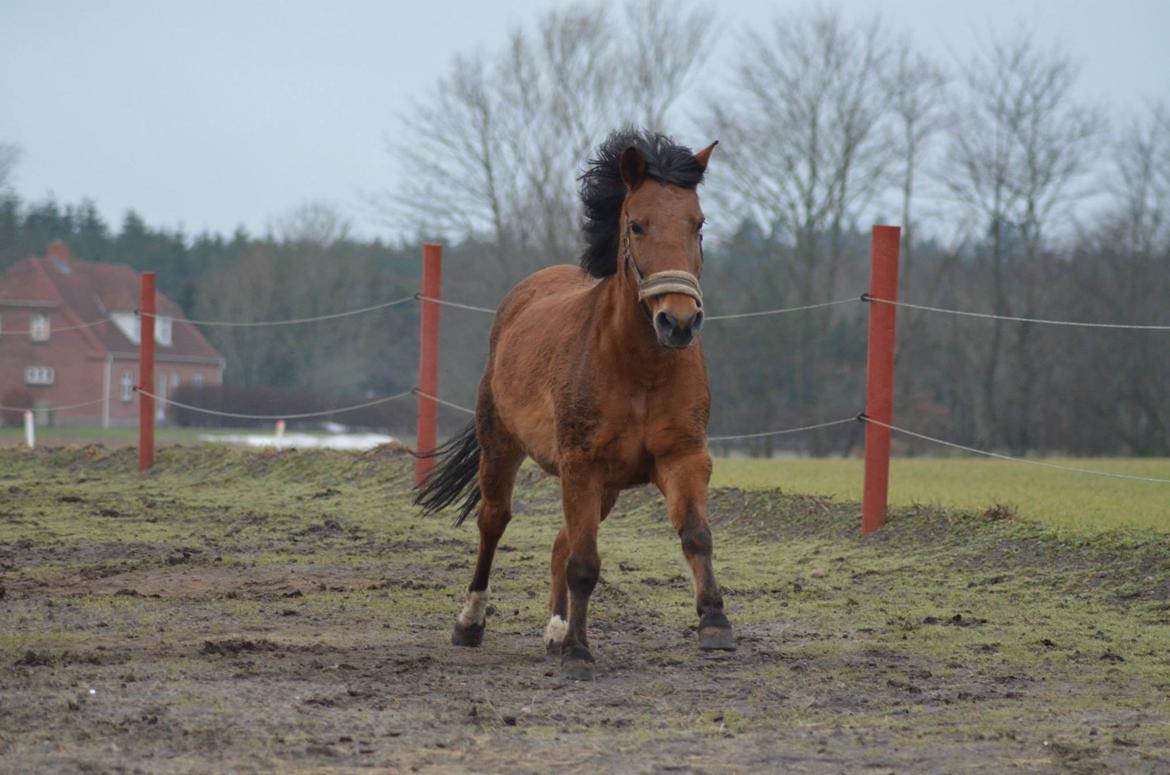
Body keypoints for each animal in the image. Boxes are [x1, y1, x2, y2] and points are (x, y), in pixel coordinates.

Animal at [416, 125, 734, 679]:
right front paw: (580, 654)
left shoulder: (684, 456)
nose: (678, 322)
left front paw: (715, 625)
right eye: (637, 225)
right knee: (494, 523)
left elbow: (696, 535)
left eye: (698, 224)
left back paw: (556, 630)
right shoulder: (581, 465)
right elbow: (585, 565)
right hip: (503, 450)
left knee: (561, 542)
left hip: (601, 488)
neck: (639, 369)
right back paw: (471, 624)